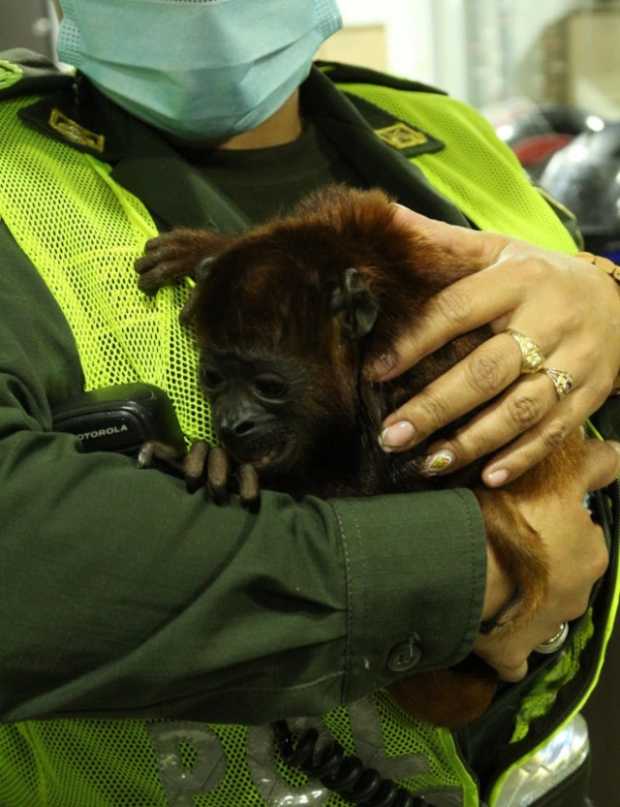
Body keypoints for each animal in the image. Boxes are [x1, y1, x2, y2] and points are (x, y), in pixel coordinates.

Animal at [136, 186, 588, 728]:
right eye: (214, 379)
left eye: (269, 386)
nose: (233, 424)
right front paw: (205, 249)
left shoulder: (425, 373)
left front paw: (214, 467)